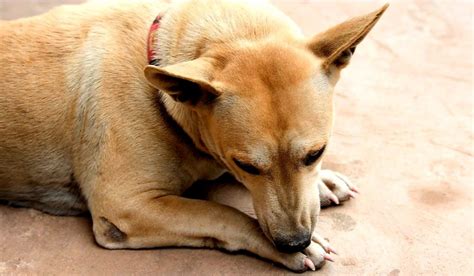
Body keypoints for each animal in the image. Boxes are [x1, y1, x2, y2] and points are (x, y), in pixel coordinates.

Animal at [0, 0, 386, 272]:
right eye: (246, 165)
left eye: (316, 153)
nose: (294, 242)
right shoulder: (126, 205)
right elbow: (220, 213)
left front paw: (322, 182)